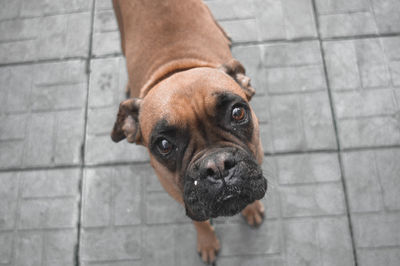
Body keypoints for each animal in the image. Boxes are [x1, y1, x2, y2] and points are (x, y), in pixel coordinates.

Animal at [110, 0, 266, 262]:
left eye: (237, 113)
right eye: (164, 145)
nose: (217, 165)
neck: (176, 66)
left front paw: (251, 209)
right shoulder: (177, 193)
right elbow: (199, 222)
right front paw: (207, 242)